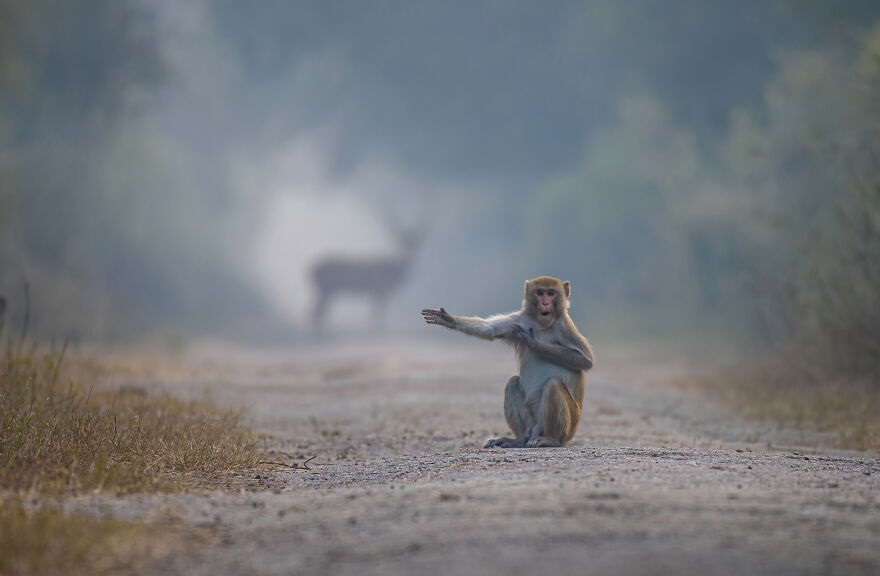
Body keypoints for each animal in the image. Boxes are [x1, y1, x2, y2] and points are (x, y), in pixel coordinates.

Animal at [422, 276, 596, 448]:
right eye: (540, 293)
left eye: (551, 293)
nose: (545, 303)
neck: (542, 324)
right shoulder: (519, 320)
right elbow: (490, 329)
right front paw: (448, 319)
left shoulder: (565, 326)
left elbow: (585, 360)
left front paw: (534, 343)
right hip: (532, 423)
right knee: (512, 383)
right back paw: (518, 440)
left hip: (569, 428)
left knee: (553, 385)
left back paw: (550, 439)